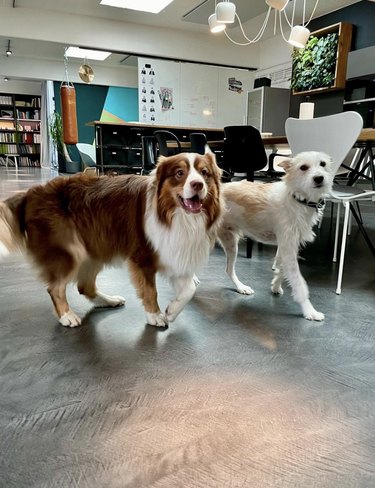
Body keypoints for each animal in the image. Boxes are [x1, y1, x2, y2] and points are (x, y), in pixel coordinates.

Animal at [0, 152, 223, 328]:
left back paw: (108, 300)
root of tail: (31, 193)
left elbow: (189, 289)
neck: (175, 215)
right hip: (71, 251)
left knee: (84, 286)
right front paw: (155, 315)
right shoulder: (143, 256)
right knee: (55, 287)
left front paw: (172, 311)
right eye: (179, 173)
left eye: (204, 173)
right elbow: (151, 291)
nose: (198, 184)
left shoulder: (174, 250)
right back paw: (67, 316)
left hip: (95, 246)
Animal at [217, 151, 334, 322]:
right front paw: (309, 311)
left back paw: (241, 287)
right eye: (303, 167)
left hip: (231, 243)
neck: (297, 198)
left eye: (323, 164)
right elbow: (299, 283)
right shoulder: (288, 248)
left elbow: (281, 268)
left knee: (228, 269)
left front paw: (275, 286)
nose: (319, 178)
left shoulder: (287, 246)